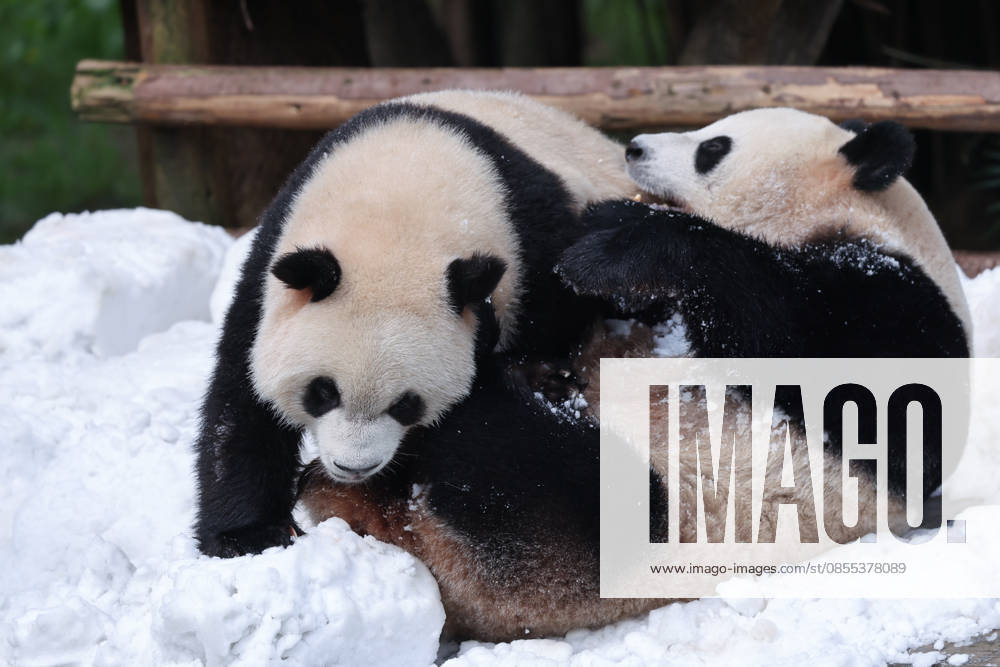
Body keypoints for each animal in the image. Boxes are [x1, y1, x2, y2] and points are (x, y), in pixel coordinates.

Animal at [193, 90, 640, 557]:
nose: (354, 467)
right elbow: (241, 397)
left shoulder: (535, 243)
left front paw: (541, 377)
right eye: (323, 392)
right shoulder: (274, 257)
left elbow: (554, 317)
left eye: (407, 404)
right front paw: (250, 535)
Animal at [299, 107, 970, 643]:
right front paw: (597, 227)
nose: (635, 149)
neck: (858, 214)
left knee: (543, 474)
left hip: (631, 532)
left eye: (713, 147)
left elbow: (830, 361)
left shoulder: (896, 304)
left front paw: (617, 243)